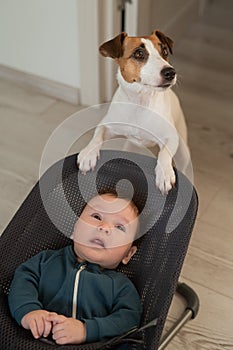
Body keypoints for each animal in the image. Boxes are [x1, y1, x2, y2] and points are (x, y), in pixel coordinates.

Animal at [78, 29, 189, 194]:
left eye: (164, 51)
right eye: (138, 53)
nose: (170, 72)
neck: (140, 103)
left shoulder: (170, 137)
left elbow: (164, 154)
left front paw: (164, 173)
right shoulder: (108, 125)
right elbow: (97, 136)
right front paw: (88, 154)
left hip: (183, 150)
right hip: (131, 145)